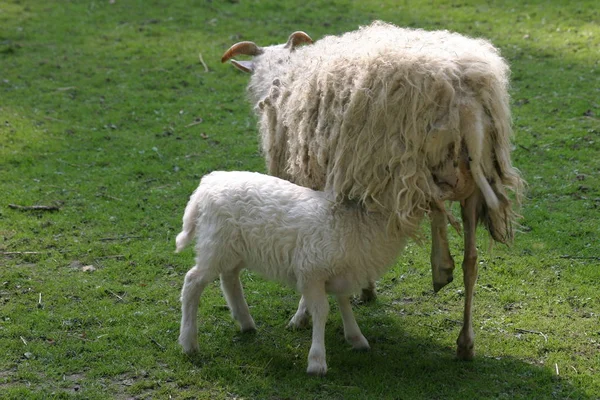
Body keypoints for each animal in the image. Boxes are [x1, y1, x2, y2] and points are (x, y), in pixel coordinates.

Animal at [175, 170, 408, 376]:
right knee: (192, 282)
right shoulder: (312, 272)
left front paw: (356, 337)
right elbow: (321, 310)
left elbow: (344, 303)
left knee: (229, 278)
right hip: (215, 245)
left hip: (233, 250)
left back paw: (245, 322)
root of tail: (208, 183)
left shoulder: (341, 274)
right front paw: (317, 360)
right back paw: (189, 342)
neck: (353, 223)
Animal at [223, 21, 524, 360]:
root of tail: (467, 99)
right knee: (470, 260)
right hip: (470, 179)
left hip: (410, 166)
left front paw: (303, 315)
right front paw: (366, 288)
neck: (284, 74)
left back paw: (441, 270)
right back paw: (464, 339)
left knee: (441, 220)